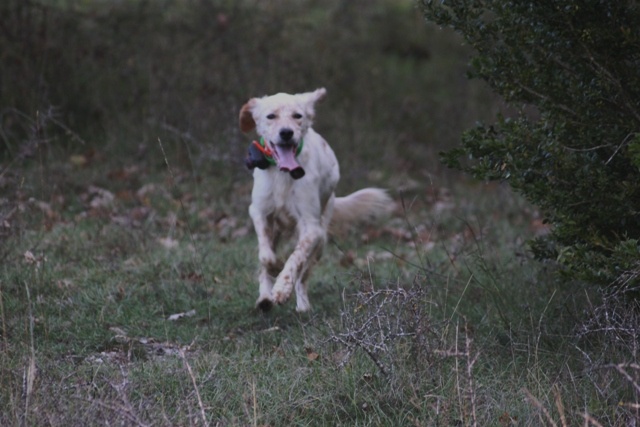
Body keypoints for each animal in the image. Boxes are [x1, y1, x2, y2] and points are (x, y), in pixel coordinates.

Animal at [239, 89, 390, 310]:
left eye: (297, 116)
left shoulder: (311, 227)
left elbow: (295, 259)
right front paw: (273, 272)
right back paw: (264, 298)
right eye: (271, 116)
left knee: (303, 276)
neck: (283, 174)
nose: (286, 133)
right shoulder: (259, 211)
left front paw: (282, 289)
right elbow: (266, 256)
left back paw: (302, 306)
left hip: (321, 241)